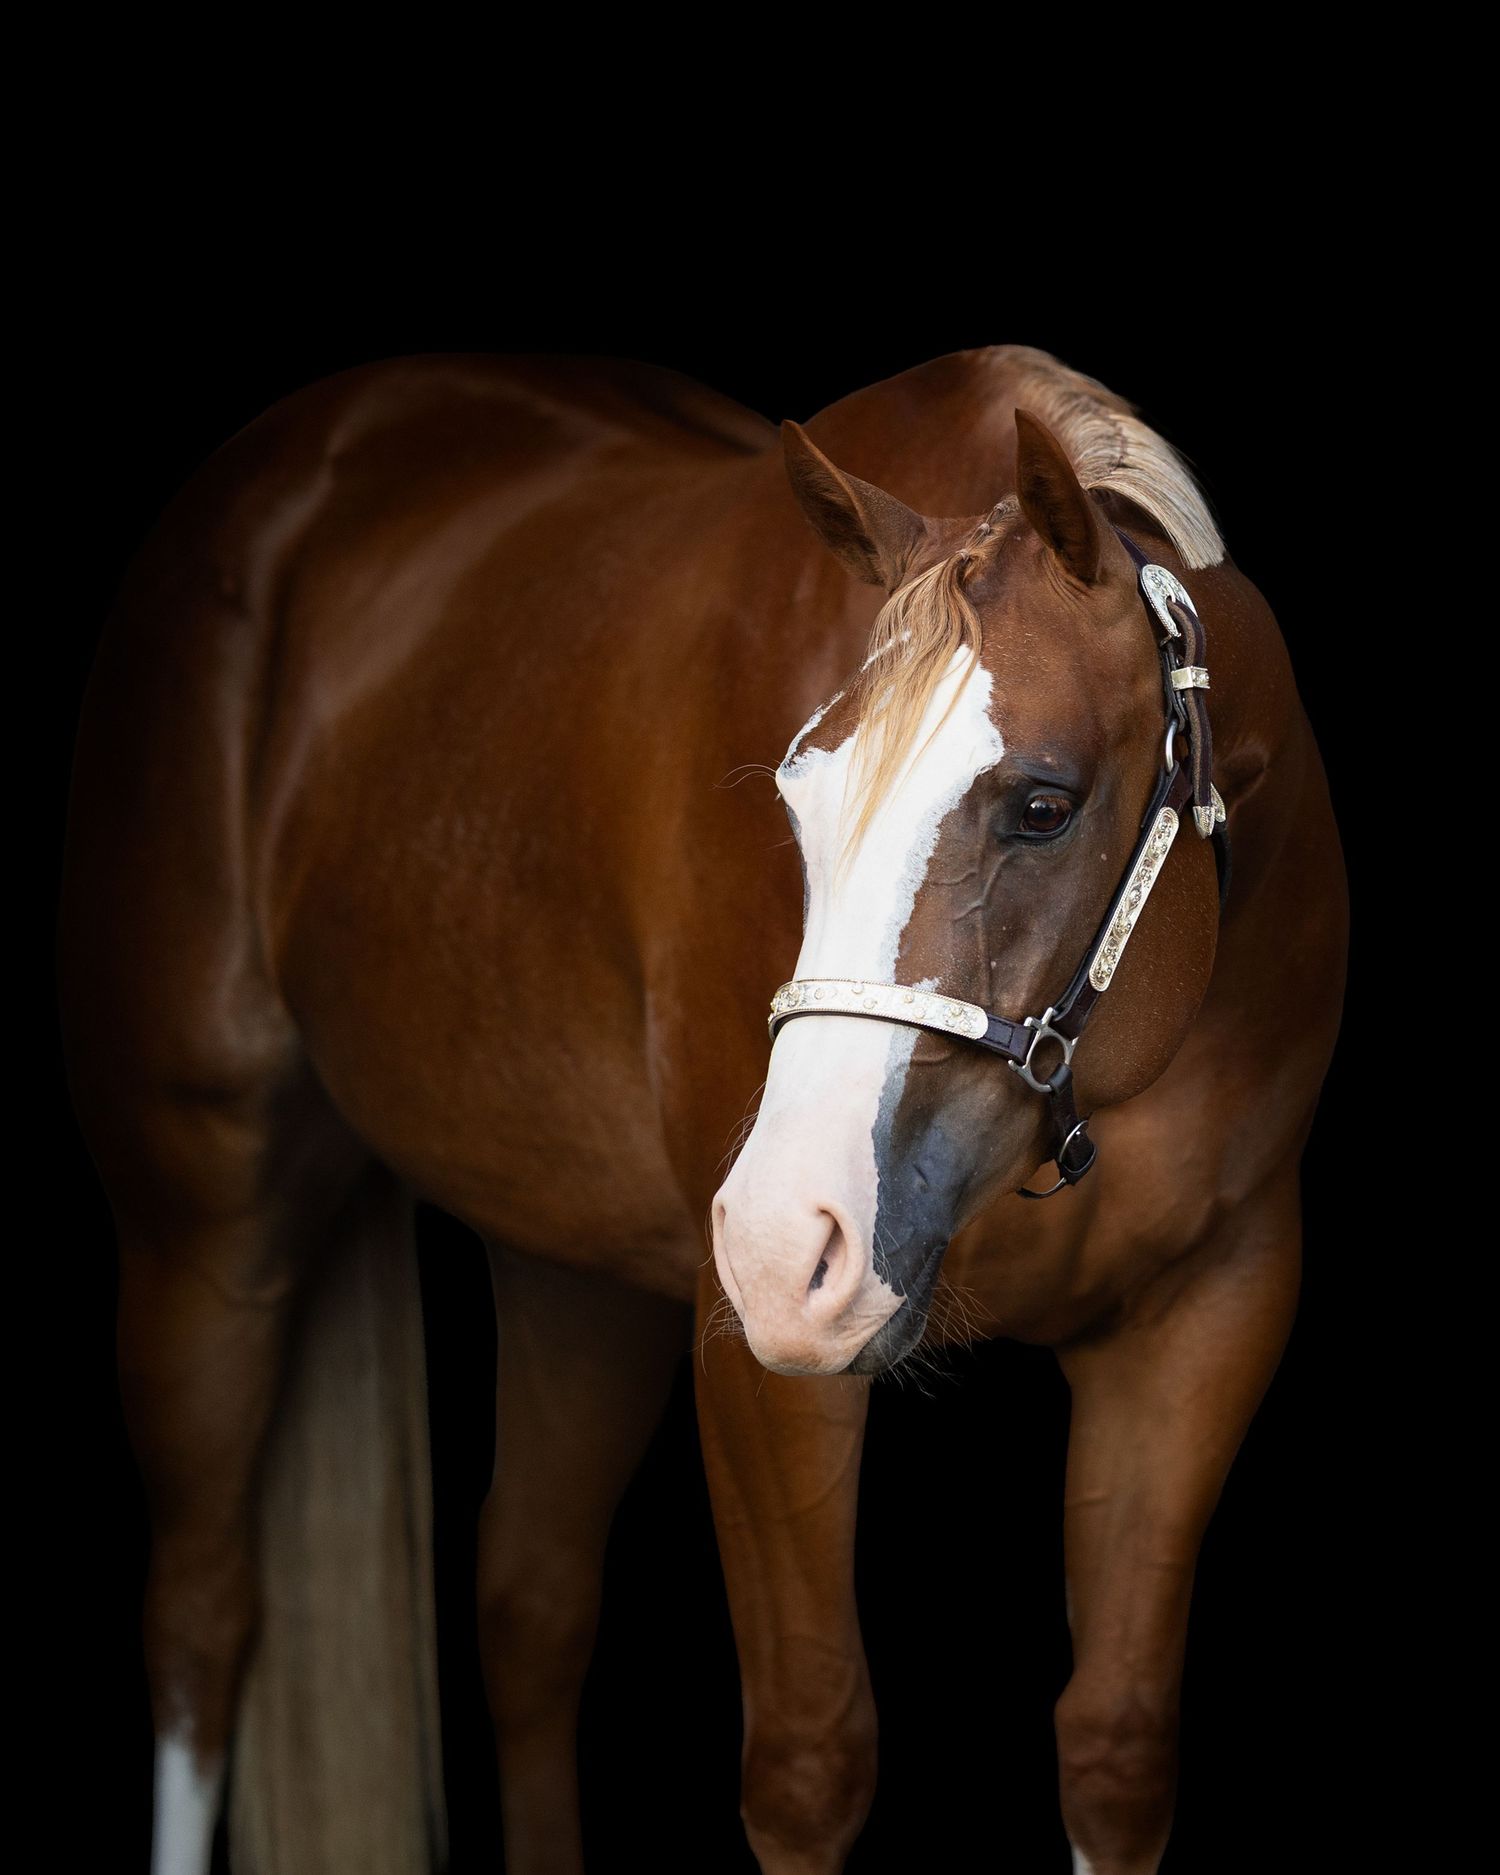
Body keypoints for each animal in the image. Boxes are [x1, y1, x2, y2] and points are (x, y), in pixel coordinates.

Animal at [58, 341, 1347, 1874]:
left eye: (1042, 803)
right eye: (795, 797)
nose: (789, 1240)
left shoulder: (1208, 1313)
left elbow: (1116, 1745)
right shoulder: (757, 1361)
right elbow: (807, 1755)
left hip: (571, 1273)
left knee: (530, 1612)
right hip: (203, 1226)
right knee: (202, 1621)